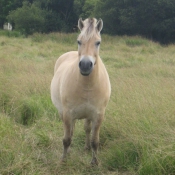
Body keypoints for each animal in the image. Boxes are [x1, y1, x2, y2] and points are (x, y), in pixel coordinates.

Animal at [50, 17, 110, 165]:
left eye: (98, 42)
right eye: (79, 41)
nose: (85, 65)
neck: (87, 86)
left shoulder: (98, 116)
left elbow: (95, 141)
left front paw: (94, 162)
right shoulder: (67, 114)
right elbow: (67, 139)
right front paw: (63, 159)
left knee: (86, 129)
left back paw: (86, 147)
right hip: (64, 113)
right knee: (71, 132)